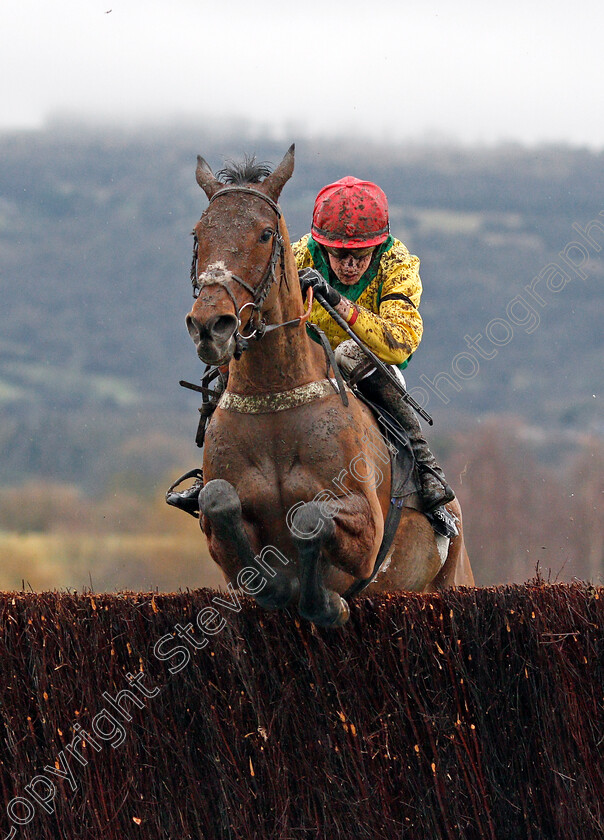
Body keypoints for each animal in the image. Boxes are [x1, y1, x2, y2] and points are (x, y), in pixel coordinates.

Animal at [183, 148, 472, 628]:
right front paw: (277, 585)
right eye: (198, 234)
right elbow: (219, 502)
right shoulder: (218, 530)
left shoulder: (367, 527)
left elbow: (309, 516)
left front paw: (323, 602)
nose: (210, 326)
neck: (275, 399)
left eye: (264, 233)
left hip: (454, 578)